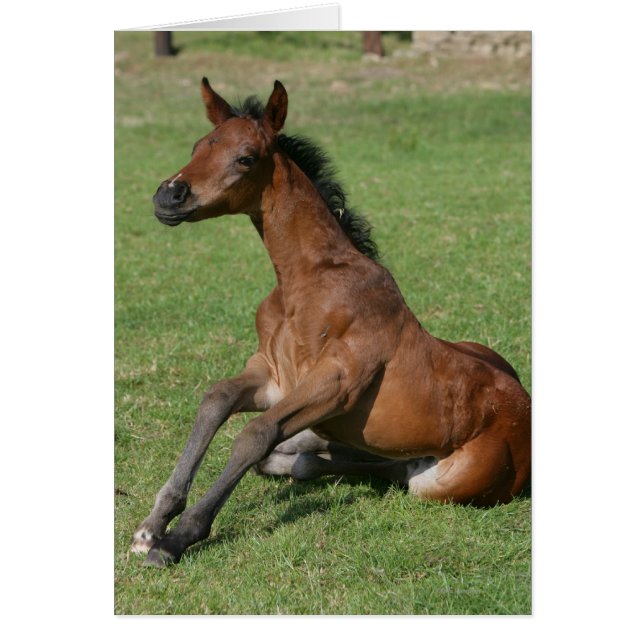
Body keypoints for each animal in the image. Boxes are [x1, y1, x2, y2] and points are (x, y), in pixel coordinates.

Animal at [131, 79, 531, 568]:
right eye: (197, 146)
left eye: (246, 157)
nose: (169, 196)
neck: (306, 282)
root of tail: (526, 412)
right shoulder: (272, 377)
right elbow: (216, 399)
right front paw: (152, 525)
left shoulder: (337, 383)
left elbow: (254, 434)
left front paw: (177, 538)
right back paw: (299, 454)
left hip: (437, 483)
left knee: (392, 470)